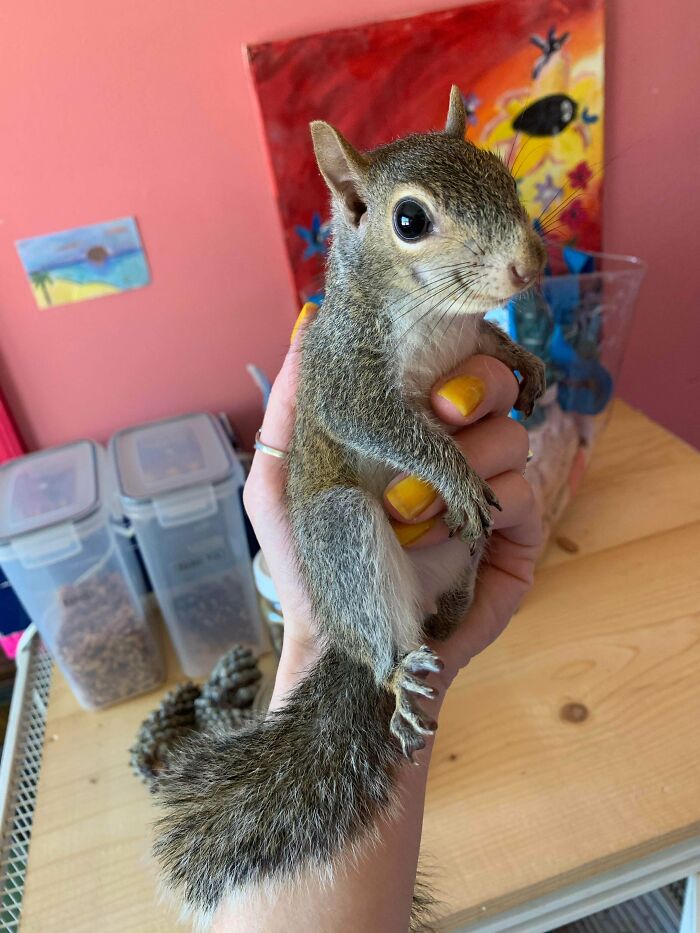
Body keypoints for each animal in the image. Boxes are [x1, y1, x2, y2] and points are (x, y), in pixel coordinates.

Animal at [153, 86, 546, 930]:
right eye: (410, 220)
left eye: (503, 172)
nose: (529, 267)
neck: (433, 316)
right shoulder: (340, 371)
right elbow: (380, 422)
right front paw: (454, 472)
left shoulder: (468, 342)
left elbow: (491, 351)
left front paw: (526, 362)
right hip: (340, 532)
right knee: (376, 623)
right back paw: (397, 673)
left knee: (444, 611)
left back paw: (454, 607)